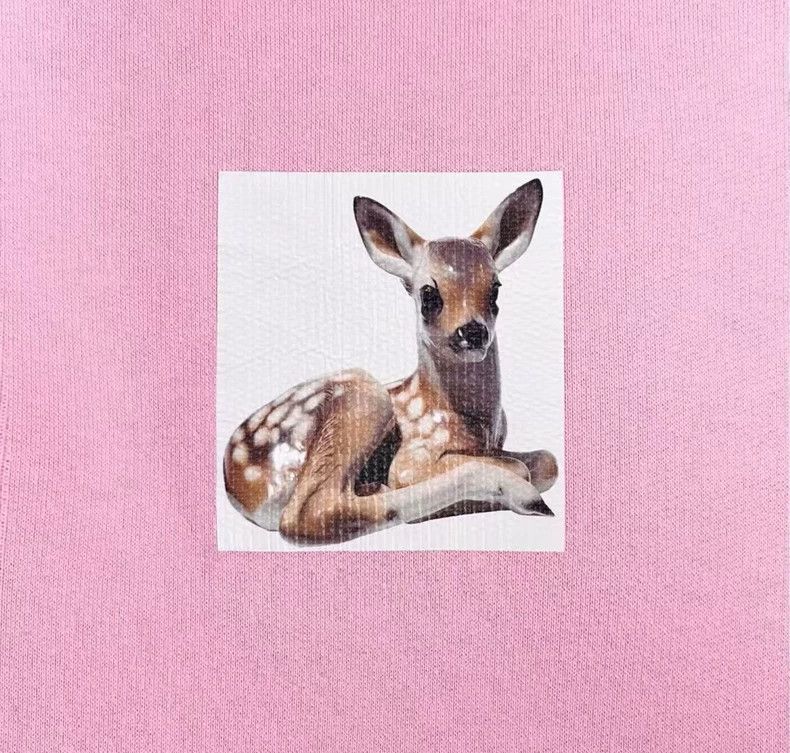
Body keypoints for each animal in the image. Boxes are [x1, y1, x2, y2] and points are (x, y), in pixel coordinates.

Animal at [223, 179, 559, 544]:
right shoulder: (413, 456)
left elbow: (547, 461)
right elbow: (516, 467)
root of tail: (237, 486)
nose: (472, 331)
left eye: (495, 288)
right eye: (429, 294)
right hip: (364, 397)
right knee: (308, 514)